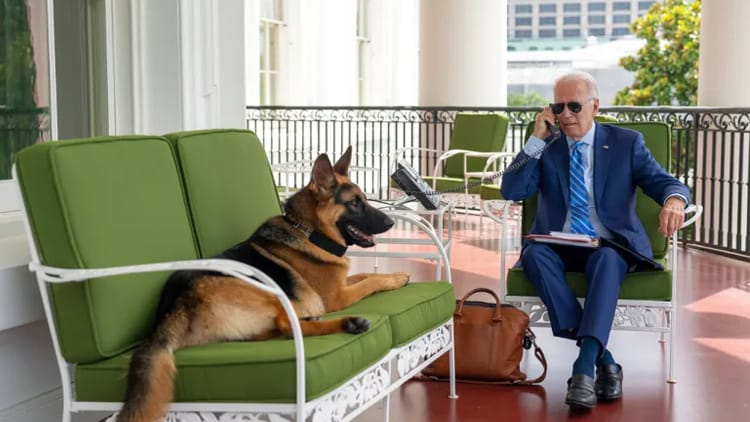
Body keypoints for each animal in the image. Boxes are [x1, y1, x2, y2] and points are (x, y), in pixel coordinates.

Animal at [116, 146, 410, 422]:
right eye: (355, 204)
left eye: (365, 200)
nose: (390, 222)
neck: (309, 232)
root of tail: (171, 308)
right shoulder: (336, 297)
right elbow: (370, 281)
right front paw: (397, 278)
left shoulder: (341, 283)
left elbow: (363, 275)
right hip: (266, 293)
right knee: (284, 325)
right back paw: (348, 323)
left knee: (276, 330)